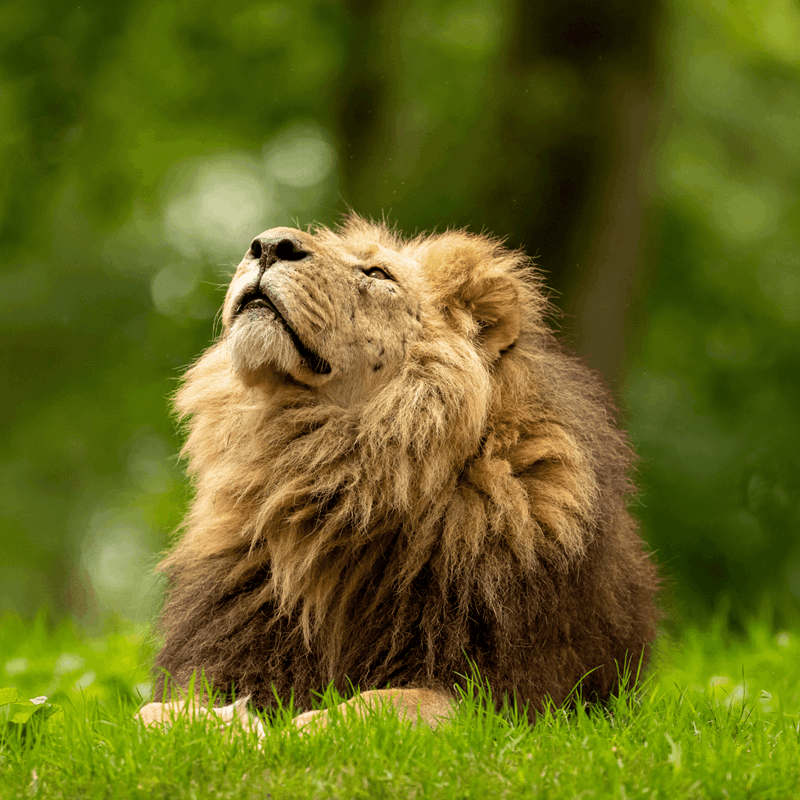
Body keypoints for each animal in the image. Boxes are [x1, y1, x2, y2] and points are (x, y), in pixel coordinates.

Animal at [136, 217, 659, 734]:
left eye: (377, 274)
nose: (267, 245)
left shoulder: (505, 695)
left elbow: (384, 704)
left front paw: (303, 728)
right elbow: (152, 713)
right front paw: (221, 724)